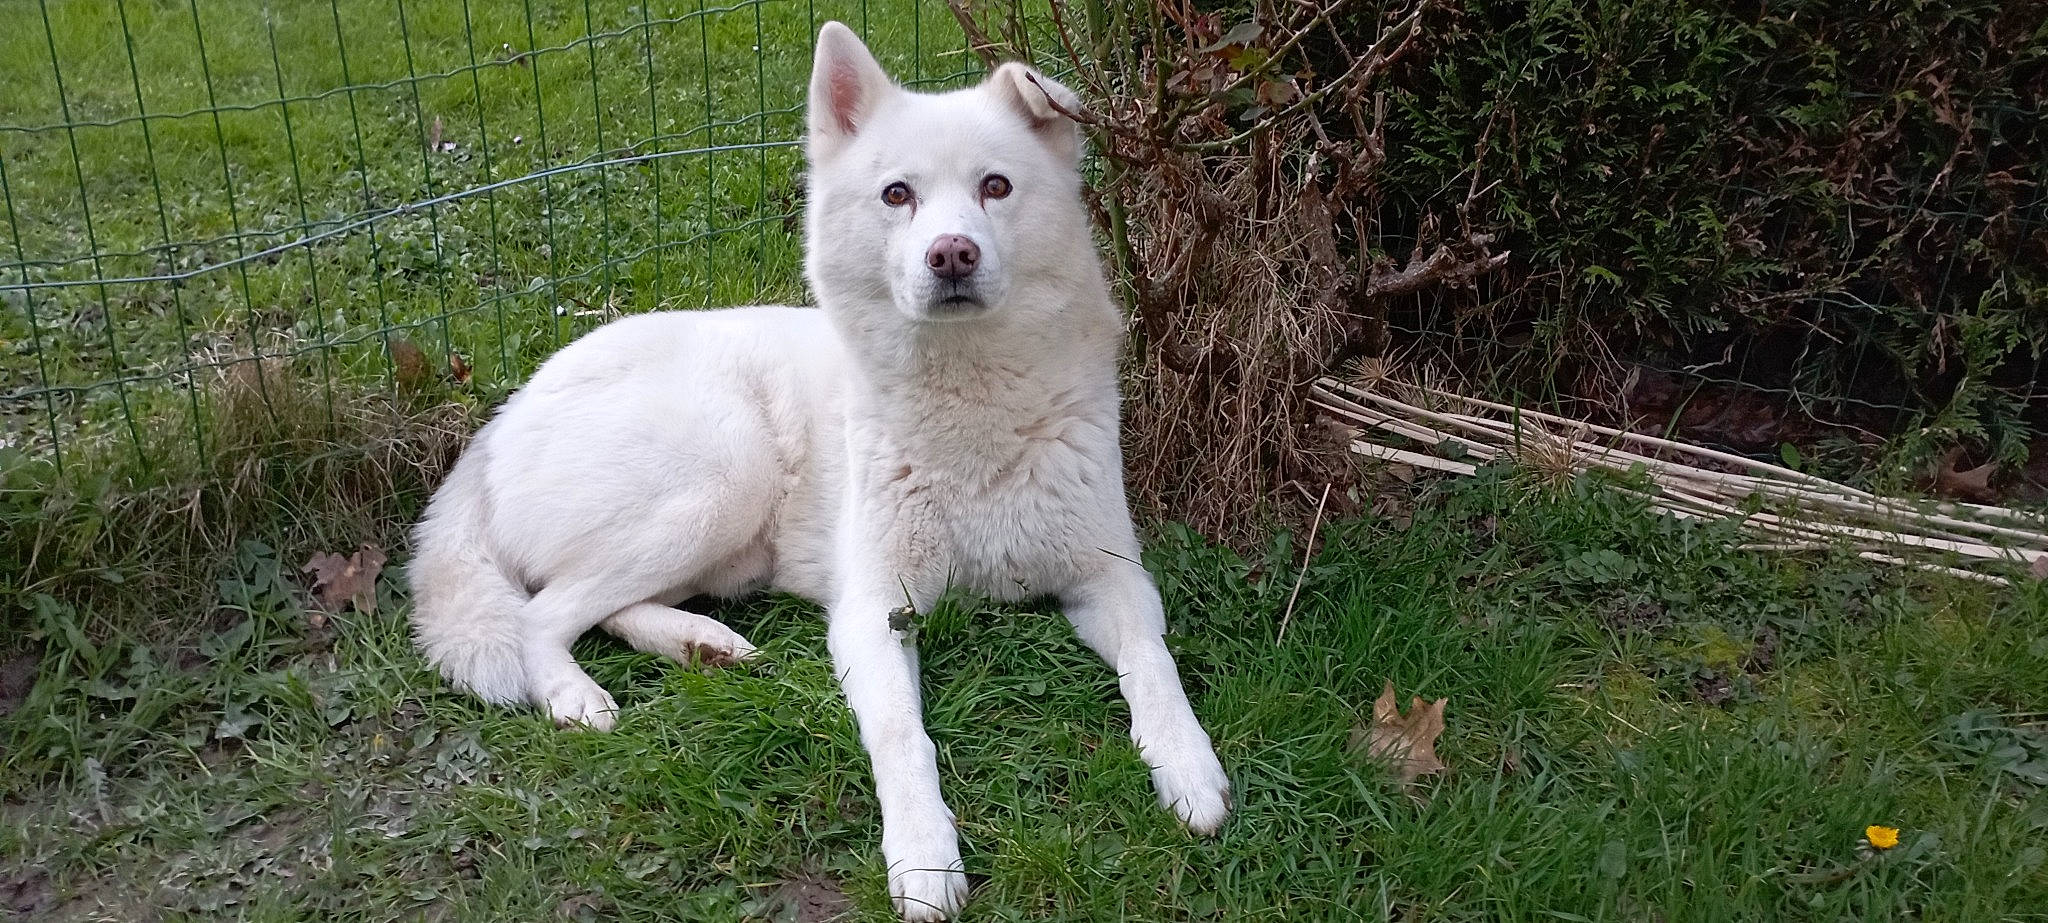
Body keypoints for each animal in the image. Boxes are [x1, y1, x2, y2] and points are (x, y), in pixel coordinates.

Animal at [406, 22, 1229, 920]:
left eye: (996, 186)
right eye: (898, 194)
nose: (951, 254)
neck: (970, 401)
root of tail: (497, 423)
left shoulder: (1111, 576)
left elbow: (1154, 663)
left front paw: (1189, 765)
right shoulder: (876, 612)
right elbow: (904, 735)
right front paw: (925, 856)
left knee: (600, 604)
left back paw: (703, 643)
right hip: (723, 474)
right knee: (540, 613)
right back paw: (576, 695)